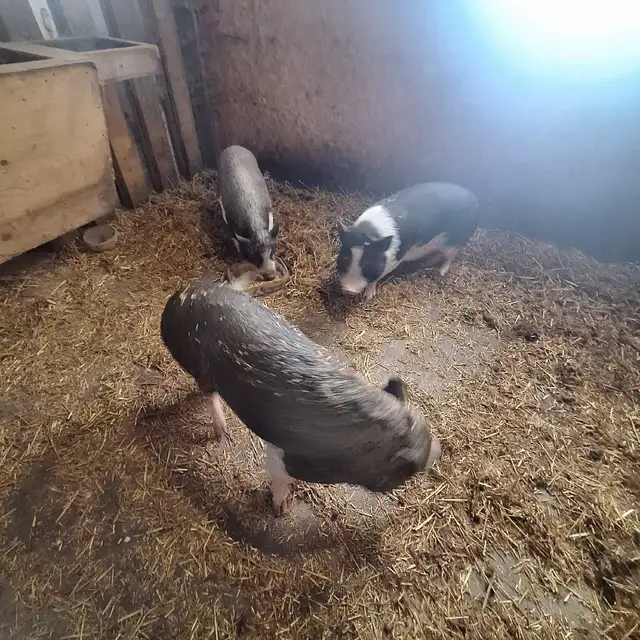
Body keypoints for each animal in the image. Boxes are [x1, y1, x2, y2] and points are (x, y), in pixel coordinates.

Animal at [160, 279, 441, 516]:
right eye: (405, 472)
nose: (436, 449)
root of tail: (175, 299)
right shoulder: (286, 453)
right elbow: (280, 477)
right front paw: (280, 510)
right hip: (195, 362)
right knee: (208, 392)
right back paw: (222, 432)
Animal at [336, 182, 479, 299]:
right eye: (345, 258)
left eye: (368, 264)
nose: (349, 290)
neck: (368, 231)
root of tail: (474, 199)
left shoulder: (394, 261)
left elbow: (375, 279)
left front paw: (368, 297)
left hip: (455, 242)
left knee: (451, 256)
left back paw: (441, 271)